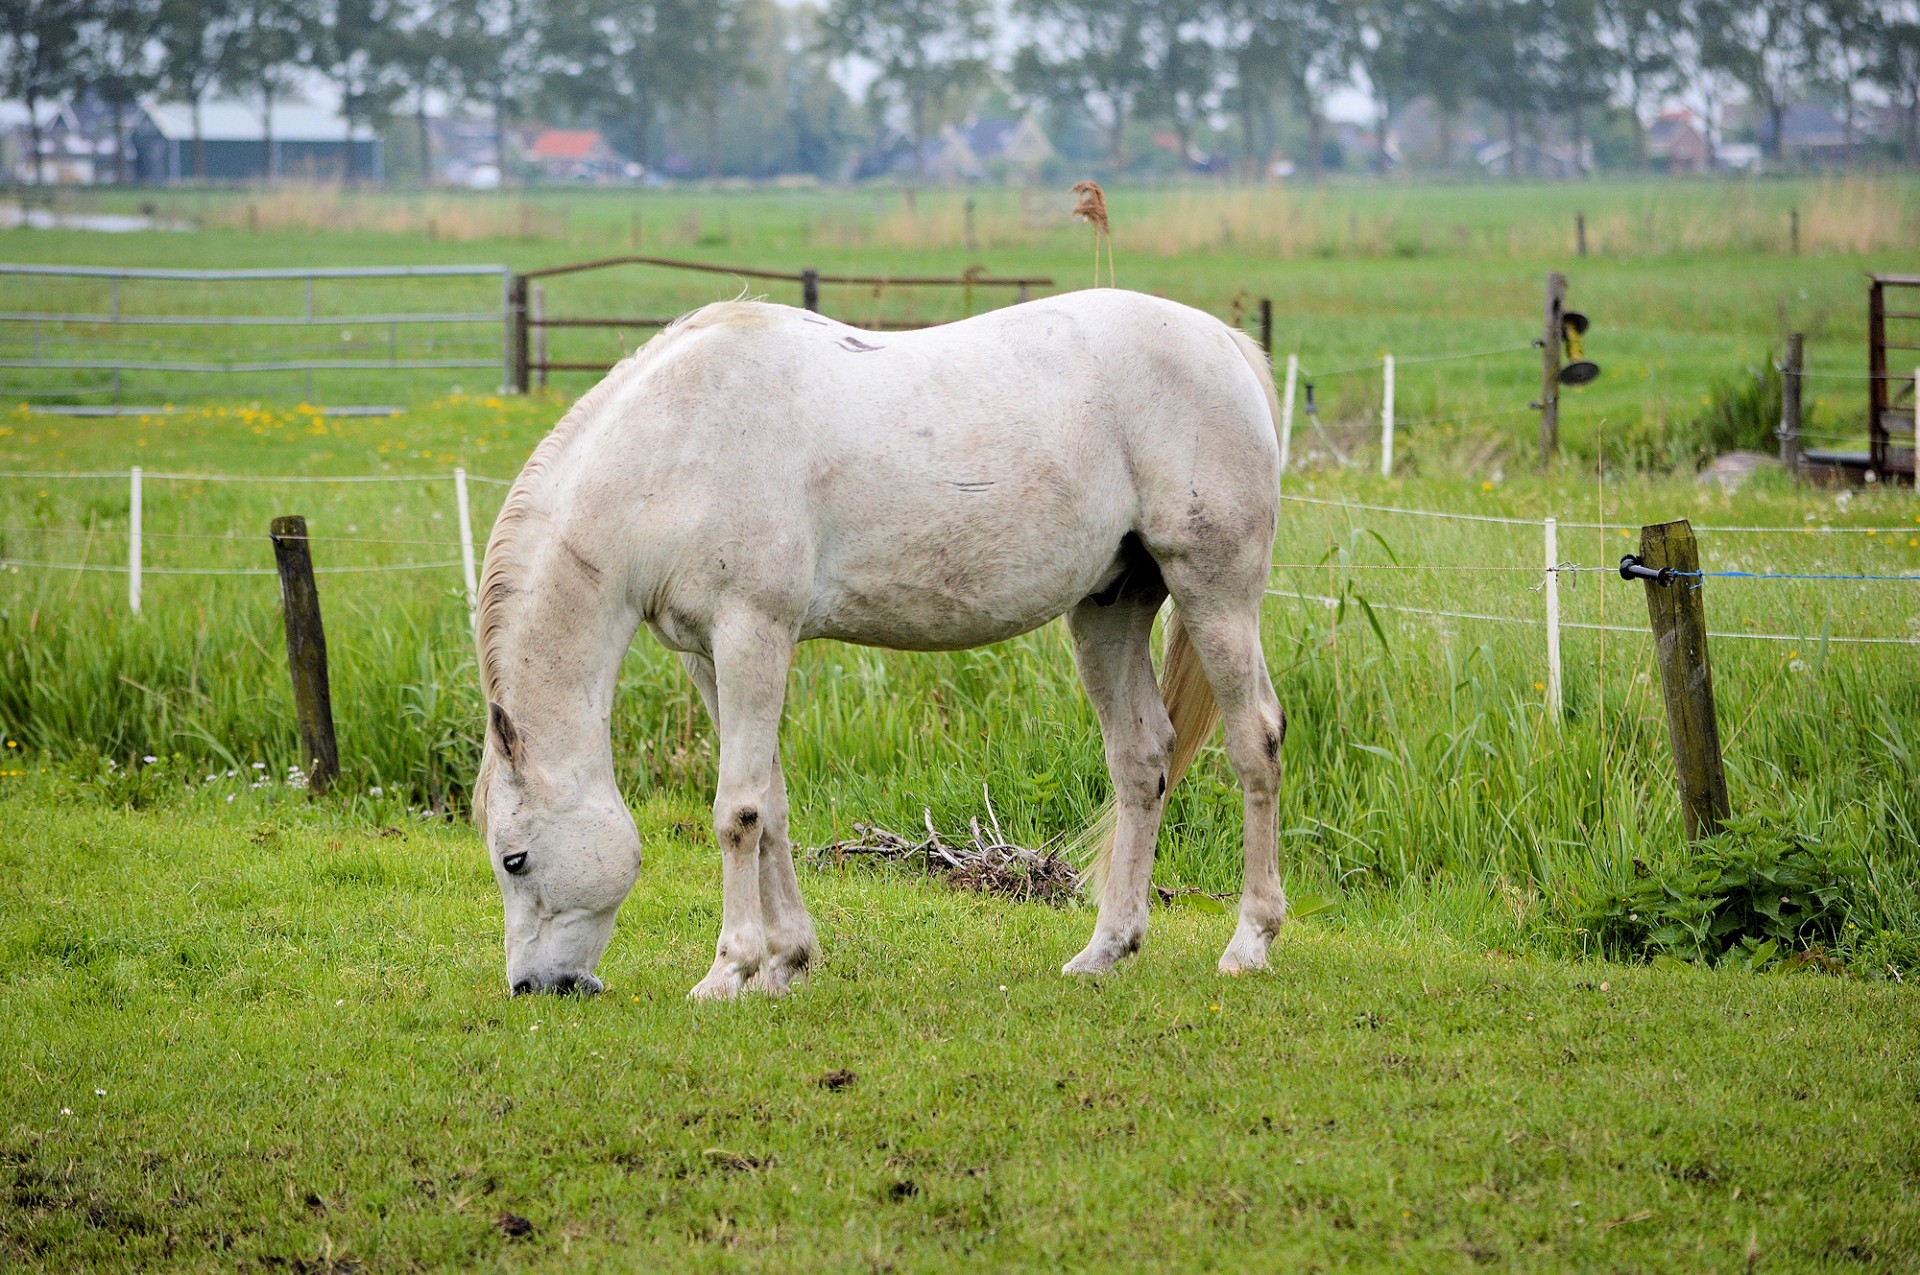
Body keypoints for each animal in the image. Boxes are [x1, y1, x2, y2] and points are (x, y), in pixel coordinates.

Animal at [476, 288, 1290, 998]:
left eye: (515, 858)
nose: (532, 987)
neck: (676, 446)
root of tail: (1225, 343)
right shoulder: (710, 657)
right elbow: (771, 806)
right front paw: (785, 962)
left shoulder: (753, 636)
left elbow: (737, 812)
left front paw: (728, 972)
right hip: (1107, 610)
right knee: (1142, 760)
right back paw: (1106, 949)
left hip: (1215, 593)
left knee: (1257, 742)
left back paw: (1249, 943)